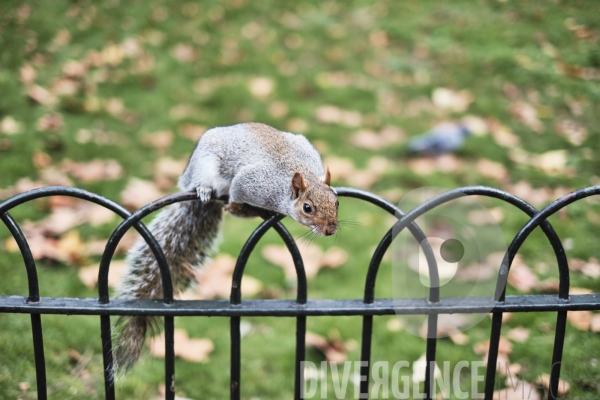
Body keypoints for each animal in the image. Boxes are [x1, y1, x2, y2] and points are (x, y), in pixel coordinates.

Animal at [112, 122, 338, 376]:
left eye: (336, 201)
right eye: (307, 208)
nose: (331, 230)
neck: (299, 173)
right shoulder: (251, 185)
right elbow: (238, 195)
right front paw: (236, 207)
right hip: (203, 166)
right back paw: (203, 189)